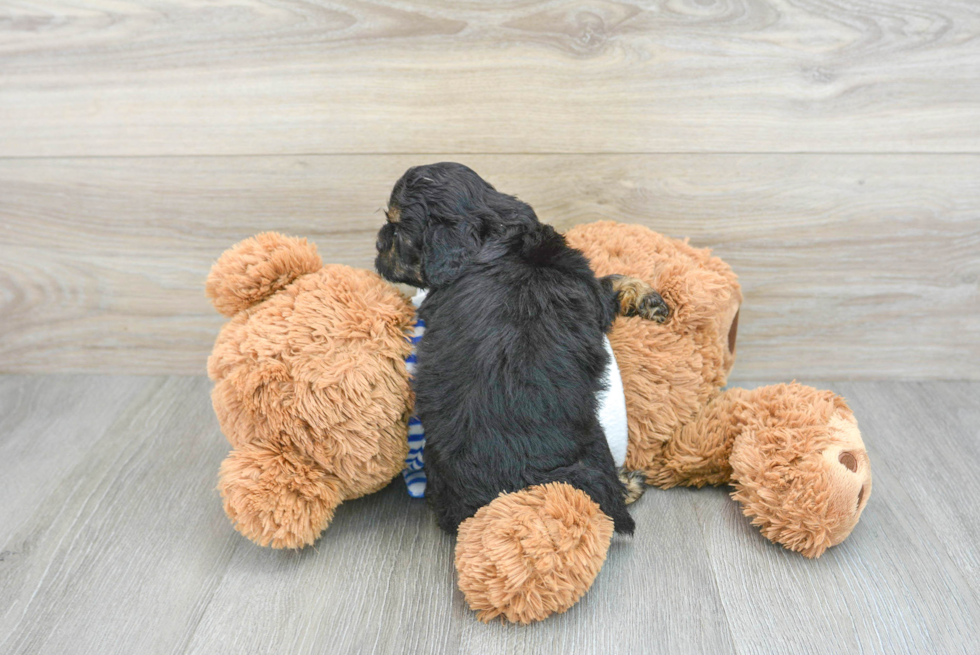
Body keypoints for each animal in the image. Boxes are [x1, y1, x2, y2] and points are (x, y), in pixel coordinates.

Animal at [374, 161, 668, 536]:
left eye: (397, 229)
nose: (379, 242)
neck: (493, 233)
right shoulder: (590, 292)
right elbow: (611, 280)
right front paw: (647, 297)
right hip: (594, 440)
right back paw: (627, 484)